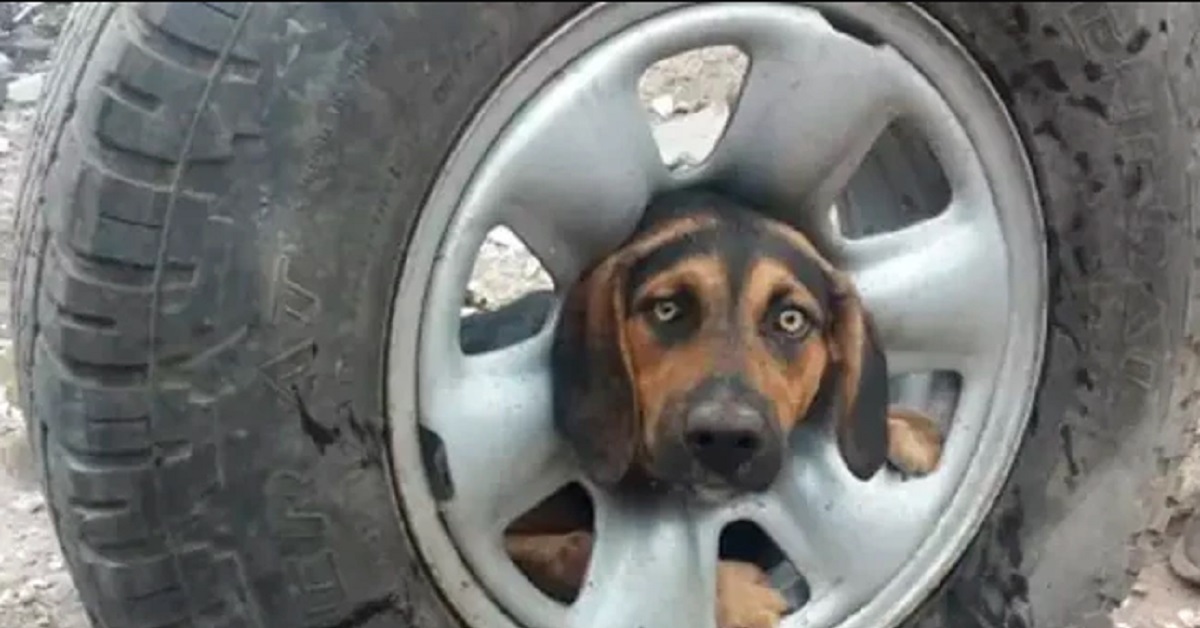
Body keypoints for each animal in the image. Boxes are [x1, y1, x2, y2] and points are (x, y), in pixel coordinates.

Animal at [496, 189, 945, 624]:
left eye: (791, 320)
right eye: (667, 309)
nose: (725, 440)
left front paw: (902, 426)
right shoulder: (516, 541)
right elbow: (572, 547)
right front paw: (732, 593)